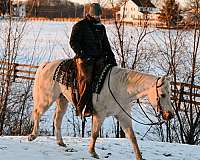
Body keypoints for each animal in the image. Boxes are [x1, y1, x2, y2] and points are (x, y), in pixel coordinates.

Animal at [27, 60, 173, 160]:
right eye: (162, 95)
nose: (170, 115)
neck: (120, 87)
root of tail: (47, 64)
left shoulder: (123, 116)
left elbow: (132, 137)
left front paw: (139, 157)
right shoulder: (99, 114)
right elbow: (95, 133)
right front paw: (93, 152)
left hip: (62, 100)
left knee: (57, 119)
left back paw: (61, 142)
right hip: (48, 98)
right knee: (38, 112)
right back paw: (32, 136)